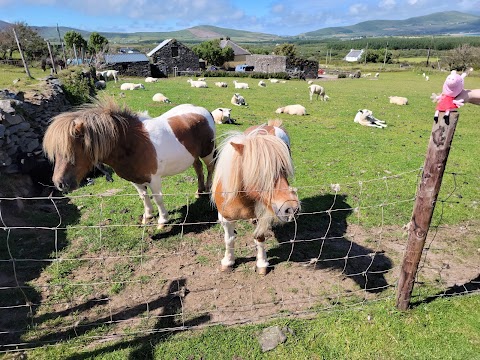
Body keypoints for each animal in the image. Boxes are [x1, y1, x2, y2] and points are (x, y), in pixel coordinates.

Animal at [43, 98, 216, 228]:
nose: (59, 183)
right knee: (198, 168)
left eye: (71, 152)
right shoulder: (135, 179)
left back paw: (208, 189)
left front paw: (162, 220)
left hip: (207, 153)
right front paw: (147, 216)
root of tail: (203, 111)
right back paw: (199, 191)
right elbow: (144, 197)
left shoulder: (154, 179)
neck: (132, 144)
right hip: (193, 156)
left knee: (209, 168)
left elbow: (158, 198)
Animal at [212, 121, 298, 276]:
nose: (291, 208)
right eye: (258, 173)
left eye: (284, 169)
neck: (241, 198)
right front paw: (228, 262)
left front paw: (262, 264)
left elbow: (259, 238)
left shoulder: (262, 216)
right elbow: (229, 239)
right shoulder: (225, 218)